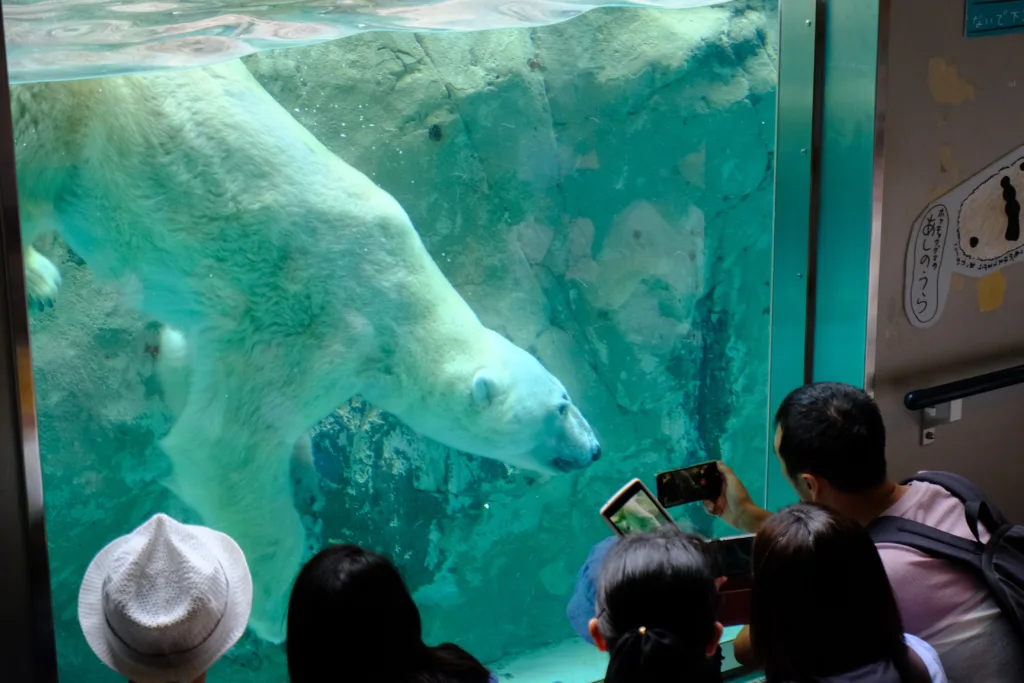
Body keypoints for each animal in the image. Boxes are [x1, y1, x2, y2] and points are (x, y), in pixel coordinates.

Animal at [14, 61, 598, 643]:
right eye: (562, 404)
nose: (593, 449)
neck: (403, 304)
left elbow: (194, 370)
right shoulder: (323, 321)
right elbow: (227, 446)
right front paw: (272, 606)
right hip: (70, 109)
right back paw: (38, 276)